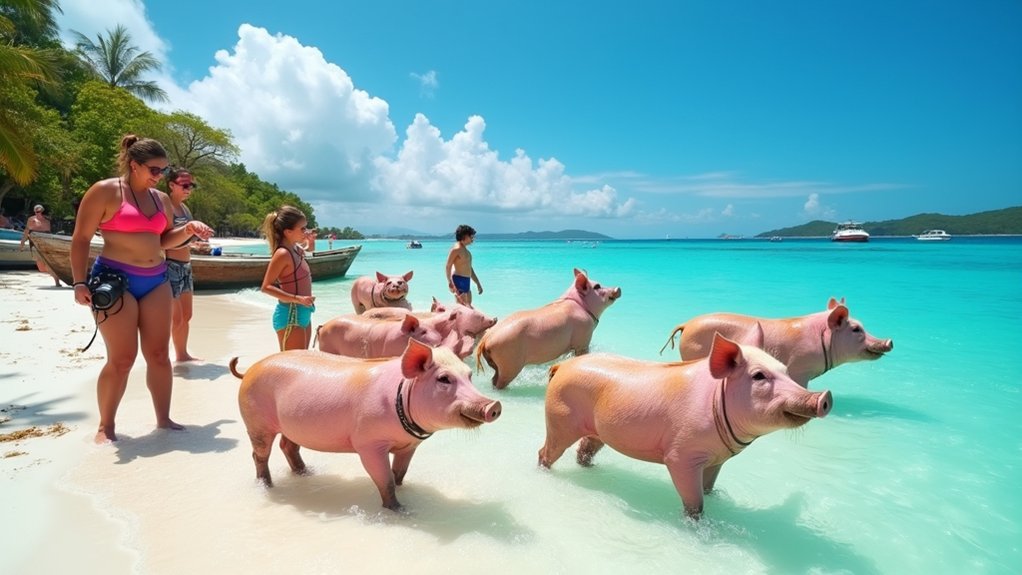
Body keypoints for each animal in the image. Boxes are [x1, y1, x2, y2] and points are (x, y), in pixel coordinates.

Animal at [232, 339, 502, 510]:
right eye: (444, 379)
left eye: (469, 375)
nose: (494, 405)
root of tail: (249, 370)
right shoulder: (368, 444)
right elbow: (385, 480)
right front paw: (401, 511)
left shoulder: (409, 445)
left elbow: (399, 474)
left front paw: (404, 493)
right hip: (255, 421)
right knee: (259, 454)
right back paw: (267, 486)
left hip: (290, 425)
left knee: (288, 447)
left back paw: (306, 473)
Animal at [475, 268, 621, 389]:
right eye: (597, 286)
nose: (618, 288)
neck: (580, 305)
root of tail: (485, 340)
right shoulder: (583, 340)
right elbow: (582, 354)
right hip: (509, 362)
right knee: (499, 382)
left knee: (493, 379)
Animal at [539, 330, 832, 519]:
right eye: (759, 376)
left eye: (785, 371)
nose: (824, 397)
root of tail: (561, 367)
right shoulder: (681, 456)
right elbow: (695, 505)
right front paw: (698, 525)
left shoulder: (716, 460)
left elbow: (709, 489)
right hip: (559, 420)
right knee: (546, 452)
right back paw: (545, 472)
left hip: (597, 432)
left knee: (584, 451)